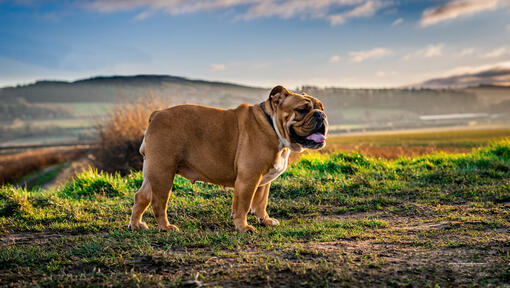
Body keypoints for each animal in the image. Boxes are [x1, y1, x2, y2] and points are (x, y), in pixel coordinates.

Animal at [127, 85, 326, 232]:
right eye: (301, 110)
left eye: (321, 108)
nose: (321, 115)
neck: (272, 126)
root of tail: (156, 114)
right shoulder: (248, 178)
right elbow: (243, 205)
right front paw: (243, 227)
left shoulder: (264, 180)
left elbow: (261, 202)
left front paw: (265, 220)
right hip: (163, 172)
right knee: (158, 202)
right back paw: (166, 227)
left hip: (153, 172)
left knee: (141, 196)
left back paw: (136, 225)